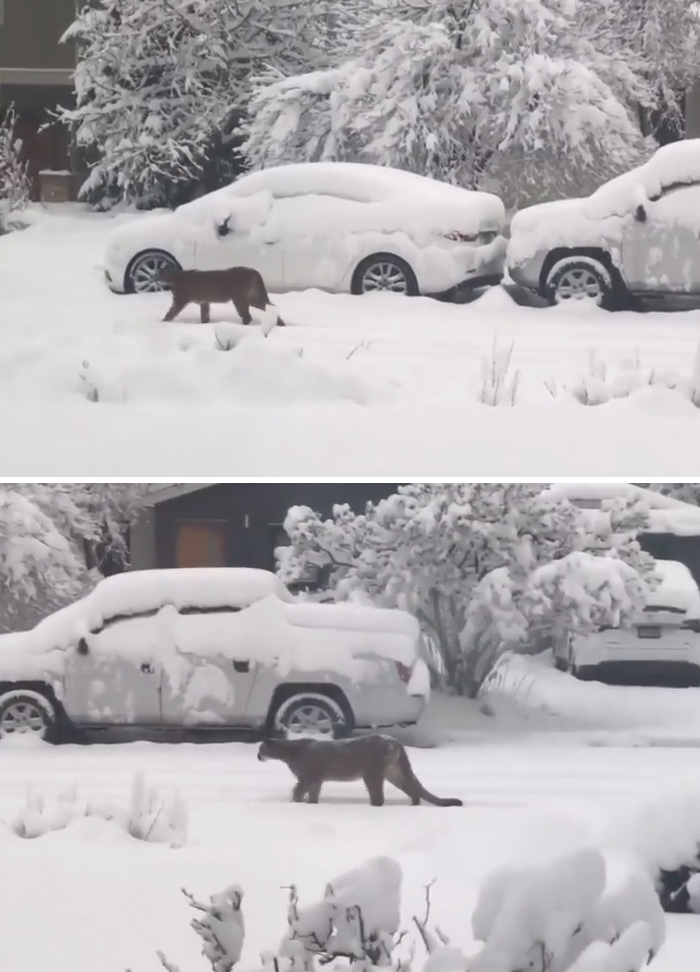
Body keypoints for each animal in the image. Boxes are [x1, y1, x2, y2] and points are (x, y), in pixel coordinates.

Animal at [258, 732, 464, 808]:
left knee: (379, 795)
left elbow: (298, 790)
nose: (258, 756)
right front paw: (311, 804)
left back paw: (374, 805)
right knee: (412, 789)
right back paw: (414, 805)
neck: (290, 751)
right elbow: (312, 793)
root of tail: (394, 740)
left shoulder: (308, 777)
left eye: (260, 749)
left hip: (371, 773)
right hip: (393, 773)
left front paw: (297, 803)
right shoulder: (315, 779)